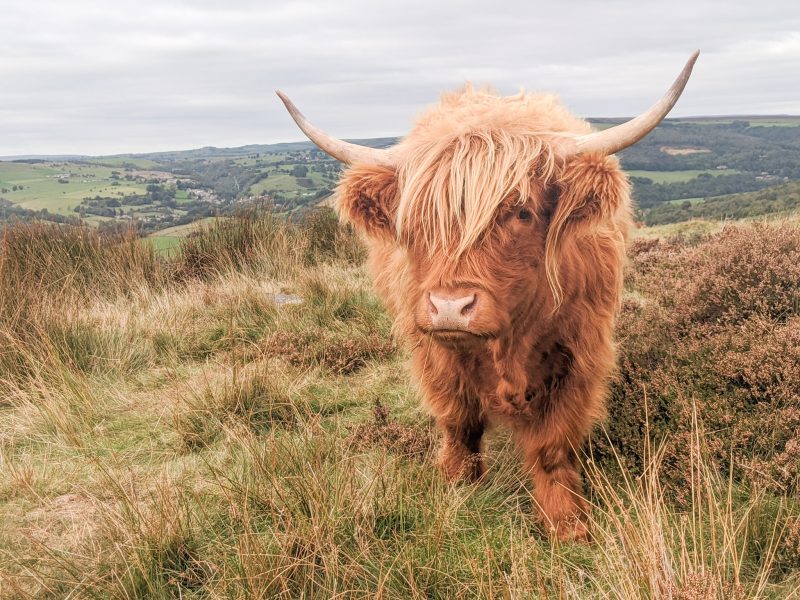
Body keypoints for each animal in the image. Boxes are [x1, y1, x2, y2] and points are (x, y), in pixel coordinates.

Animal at [276, 51, 700, 540]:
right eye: (414, 221)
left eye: (522, 212)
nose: (449, 308)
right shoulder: (433, 353)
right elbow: (459, 421)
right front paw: (457, 486)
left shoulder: (580, 354)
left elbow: (554, 445)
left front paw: (566, 523)